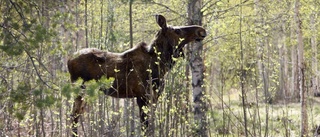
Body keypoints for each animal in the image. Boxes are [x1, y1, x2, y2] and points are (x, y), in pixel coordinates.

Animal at [68, 14, 208, 135]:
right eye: (177, 31)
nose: (201, 31)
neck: (161, 65)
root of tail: (68, 60)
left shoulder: (154, 97)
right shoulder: (143, 96)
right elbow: (145, 126)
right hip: (80, 89)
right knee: (73, 116)